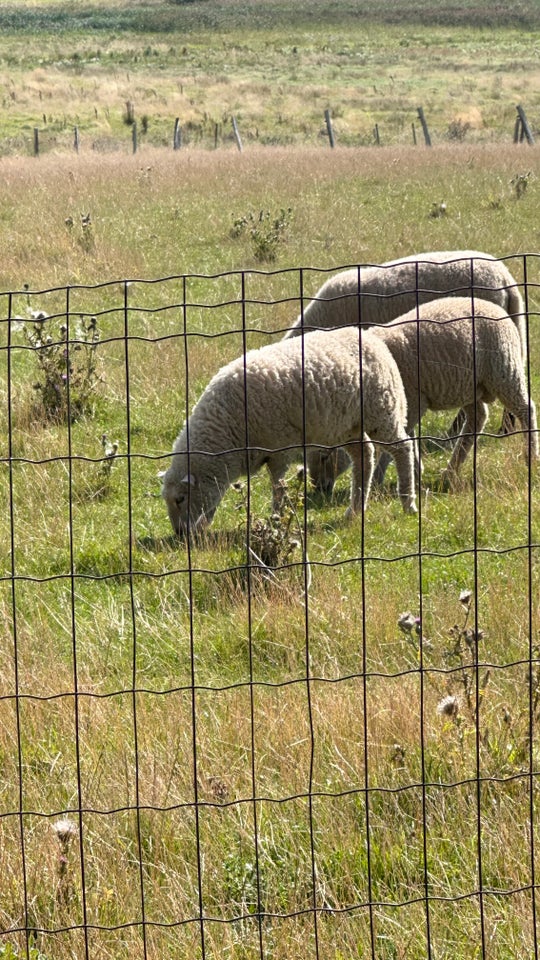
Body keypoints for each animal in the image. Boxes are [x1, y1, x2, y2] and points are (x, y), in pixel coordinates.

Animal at [161, 322, 418, 532]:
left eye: (180, 499)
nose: (180, 535)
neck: (228, 428)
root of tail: (370, 338)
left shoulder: (278, 448)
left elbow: (278, 485)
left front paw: (275, 518)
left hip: (381, 412)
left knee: (402, 449)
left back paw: (408, 502)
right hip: (348, 427)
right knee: (365, 456)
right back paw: (354, 510)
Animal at [370, 296, 536, 484]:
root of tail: (497, 309)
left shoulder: (412, 399)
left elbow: (397, 438)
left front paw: (377, 480)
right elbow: (408, 435)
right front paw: (415, 470)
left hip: (503, 369)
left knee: (525, 409)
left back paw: (531, 458)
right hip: (469, 386)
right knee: (478, 417)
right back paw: (450, 471)